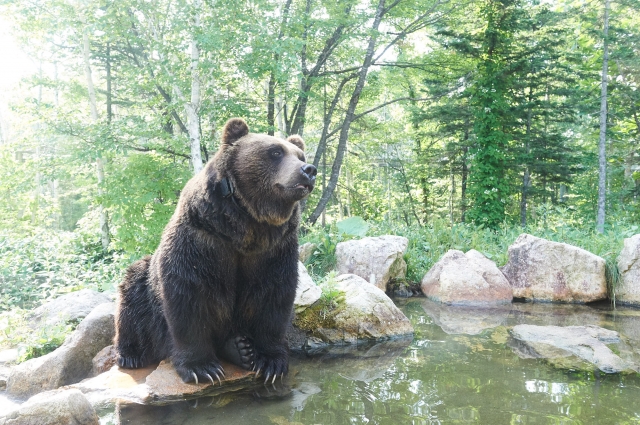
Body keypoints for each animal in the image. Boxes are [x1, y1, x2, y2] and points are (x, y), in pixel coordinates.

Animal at [114, 117, 318, 384]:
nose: (309, 170)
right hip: (144, 292)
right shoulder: (202, 241)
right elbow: (189, 298)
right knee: (132, 298)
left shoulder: (273, 251)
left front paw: (271, 362)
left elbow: (273, 297)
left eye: (300, 155)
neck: (246, 228)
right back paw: (130, 354)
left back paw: (240, 349)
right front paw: (202, 368)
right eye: (275, 152)